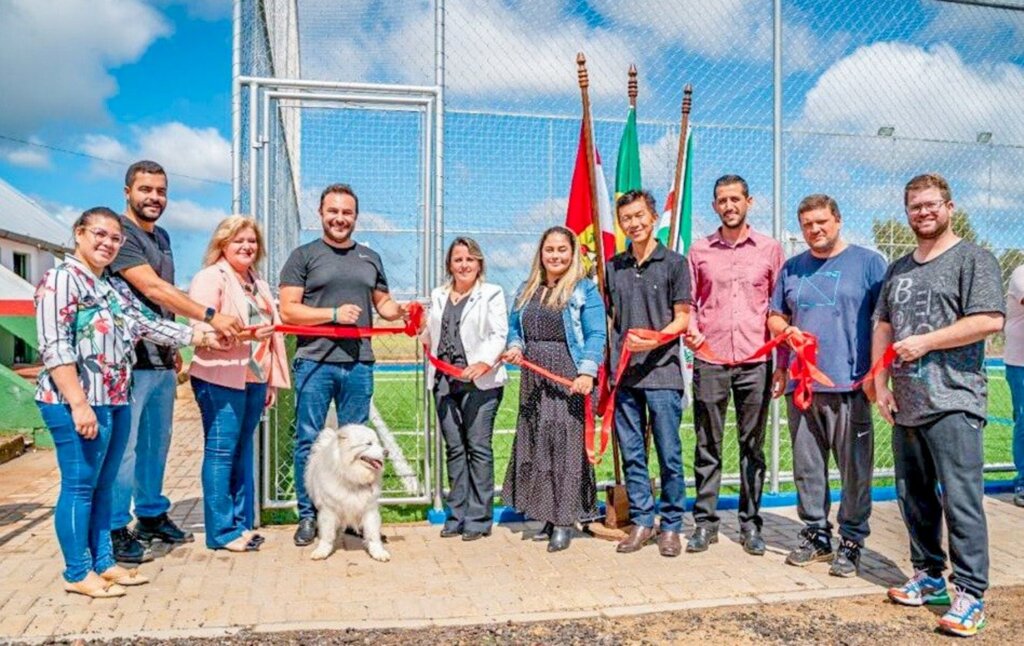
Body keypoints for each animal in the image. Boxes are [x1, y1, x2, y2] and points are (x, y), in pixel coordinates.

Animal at [305, 423, 389, 561]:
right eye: (368, 443)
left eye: (378, 442)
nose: (387, 452)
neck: (352, 478)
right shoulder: (329, 510)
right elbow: (327, 534)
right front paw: (322, 551)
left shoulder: (369, 509)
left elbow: (372, 534)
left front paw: (378, 552)